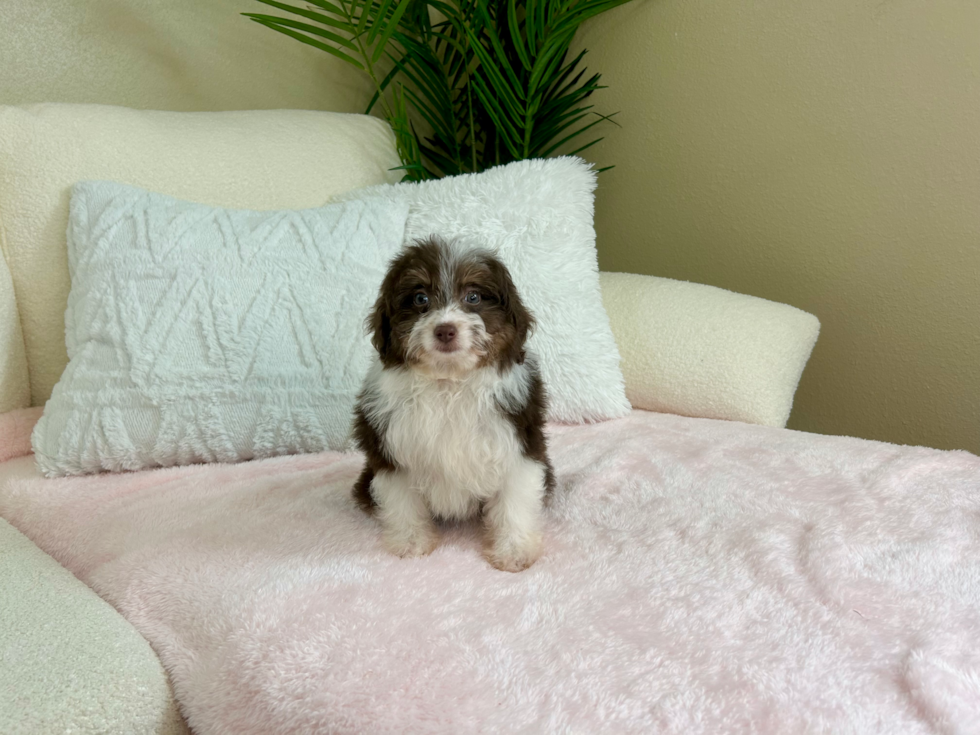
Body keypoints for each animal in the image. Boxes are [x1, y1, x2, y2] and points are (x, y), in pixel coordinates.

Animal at [352, 239, 556, 572]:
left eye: (473, 297)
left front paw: (513, 550)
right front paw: (412, 542)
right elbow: (402, 500)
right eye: (420, 298)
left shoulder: (518, 441)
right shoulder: (390, 448)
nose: (445, 329)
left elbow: (514, 498)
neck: (449, 382)